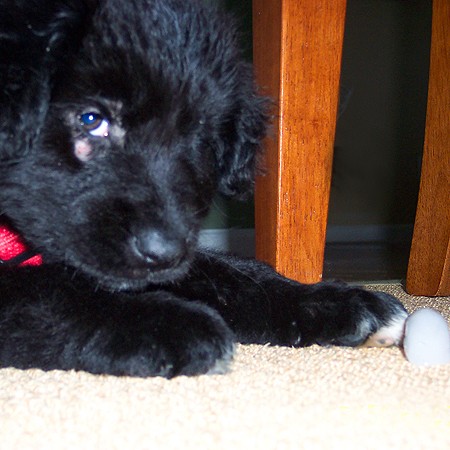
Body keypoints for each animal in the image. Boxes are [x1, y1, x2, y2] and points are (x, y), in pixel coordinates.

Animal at [0, 0, 406, 378]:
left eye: (197, 135)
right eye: (90, 118)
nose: (164, 253)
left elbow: (234, 272)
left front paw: (335, 301)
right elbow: (45, 294)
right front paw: (167, 324)